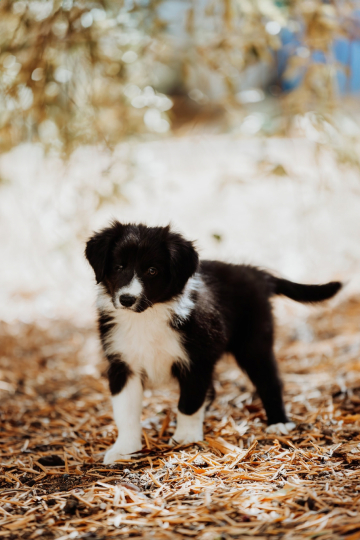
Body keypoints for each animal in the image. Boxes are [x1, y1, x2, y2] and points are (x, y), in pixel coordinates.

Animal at [84, 221, 340, 462]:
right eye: (119, 267)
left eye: (152, 270)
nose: (127, 299)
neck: (147, 316)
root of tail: (255, 272)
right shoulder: (122, 364)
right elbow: (125, 412)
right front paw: (124, 449)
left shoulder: (197, 360)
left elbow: (188, 402)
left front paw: (185, 437)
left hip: (254, 345)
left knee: (269, 380)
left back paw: (279, 422)